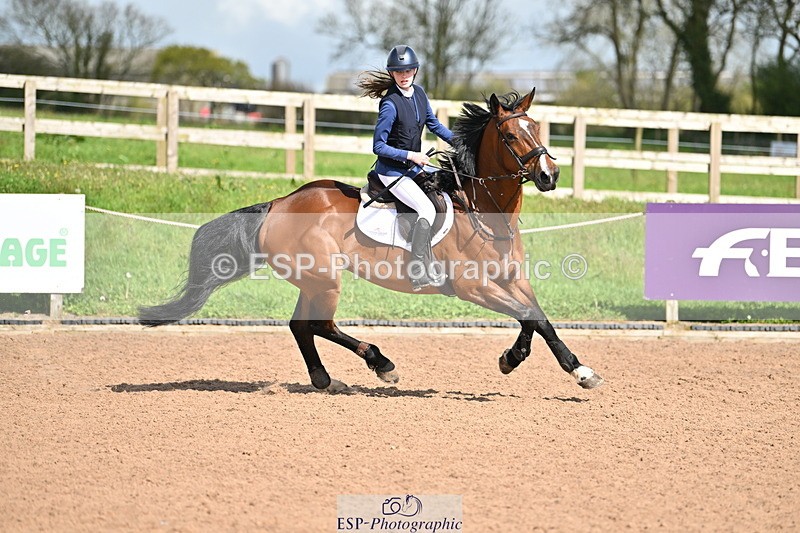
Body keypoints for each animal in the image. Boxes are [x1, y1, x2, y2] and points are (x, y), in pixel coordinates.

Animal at [139, 87, 604, 393]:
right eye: (510, 136)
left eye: (537, 128)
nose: (549, 175)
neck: (483, 209)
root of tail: (279, 203)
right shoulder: (474, 287)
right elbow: (527, 315)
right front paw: (525, 362)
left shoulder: (511, 279)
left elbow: (537, 318)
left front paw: (569, 369)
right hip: (325, 279)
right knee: (318, 324)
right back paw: (381, 363)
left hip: (313, 280)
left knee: (301, 325)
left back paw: (325, 379)